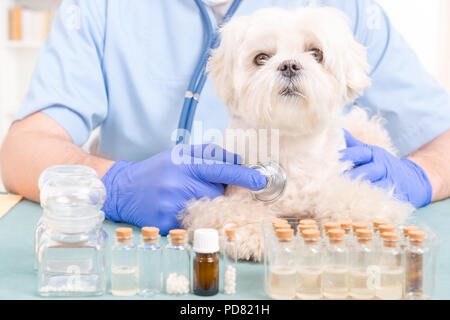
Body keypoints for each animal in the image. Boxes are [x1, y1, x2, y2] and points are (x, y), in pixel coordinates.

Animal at [181, 6, 414, 260]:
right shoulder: (225, 198)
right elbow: (234, 212)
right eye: (261, 58)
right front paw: (252, 233)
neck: (289, 140)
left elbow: (353, 200)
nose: (289, 65)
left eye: (316, 53)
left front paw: (354, 225)